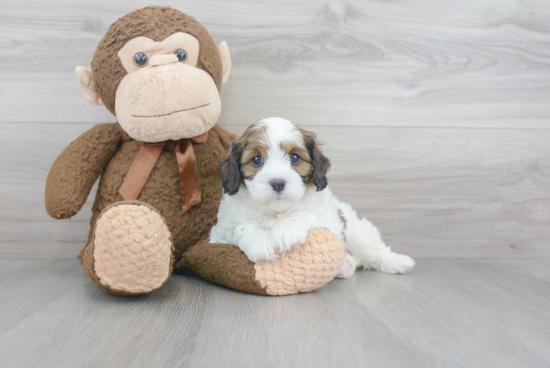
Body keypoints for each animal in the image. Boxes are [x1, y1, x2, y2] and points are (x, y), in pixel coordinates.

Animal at [209, 117, 416, 276]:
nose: (278, 183)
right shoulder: (219, 234)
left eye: (294, 157)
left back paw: (398, 262)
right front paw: (259, 243)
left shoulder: (329, 220)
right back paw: (346, 266)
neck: (275, 210)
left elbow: (303, 214)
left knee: (372, 249)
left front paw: (285, 232)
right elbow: (240, 227)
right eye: (257, 159)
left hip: (356, 231)